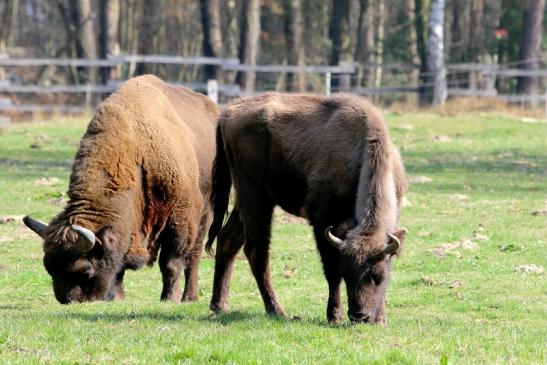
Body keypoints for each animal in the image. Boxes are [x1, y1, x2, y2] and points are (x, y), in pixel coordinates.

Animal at [23, 73, 220, 302]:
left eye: (85, 270)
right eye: (49, 267)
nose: (69, 300)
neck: (136, 153)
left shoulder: (181, 218)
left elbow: (171, 263)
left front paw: (169, 298)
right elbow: (120, 268)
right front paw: (117, 297)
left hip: (206, 213)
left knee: (194, 257)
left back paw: (189, 297)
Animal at [206, 92, 406, 322]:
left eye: (378, 276)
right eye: (347, 273)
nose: (358, 314)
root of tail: (227, 114)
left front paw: (380, 319)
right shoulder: (322, 222)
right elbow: (331, 272)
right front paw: (335, 316)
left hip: (247, 201)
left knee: (227, 239)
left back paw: (219, 306)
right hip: (254, 197)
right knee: (256, 251)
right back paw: (276, 310)